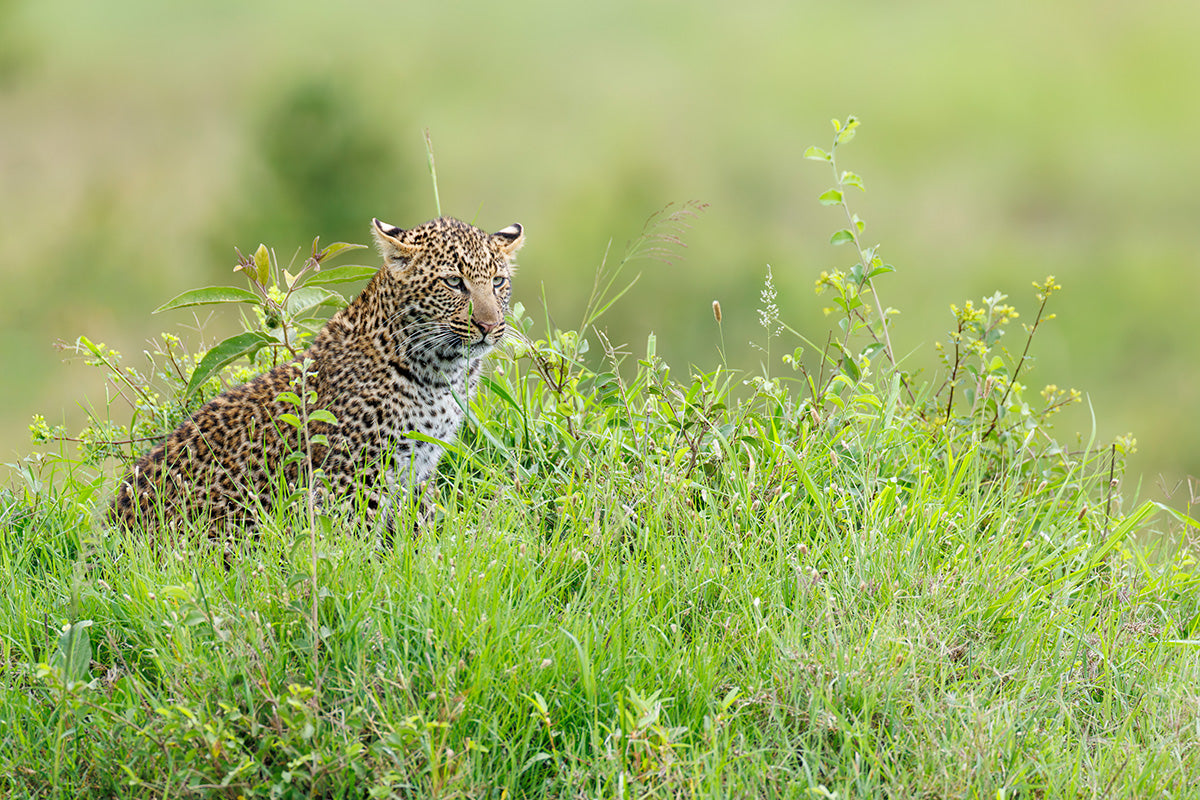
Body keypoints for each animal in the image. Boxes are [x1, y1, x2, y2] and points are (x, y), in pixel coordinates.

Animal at [111, 215, 524, 533]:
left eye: (498, 282)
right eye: (453, 282)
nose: (489, 326)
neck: (442, 373)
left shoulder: (419, 468)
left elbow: (416, 528)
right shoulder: (353, 473)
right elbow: (355, 540)